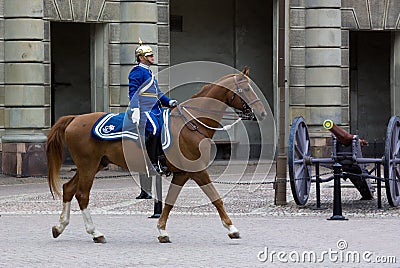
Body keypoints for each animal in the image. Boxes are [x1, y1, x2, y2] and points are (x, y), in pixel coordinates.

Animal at [47, 67, 268, 243]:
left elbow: (169, 202)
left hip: (94, 165)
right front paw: (232, 228)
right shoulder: (197, 170)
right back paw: (95, 233)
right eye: (245, 89)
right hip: (88, 166)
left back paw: (59, 227)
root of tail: (75, 119)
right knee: (82, 195)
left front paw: (162, 231)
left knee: (68, 189)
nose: (262, 113)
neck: (191, 123)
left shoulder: (183, 173)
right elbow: (216, 198)